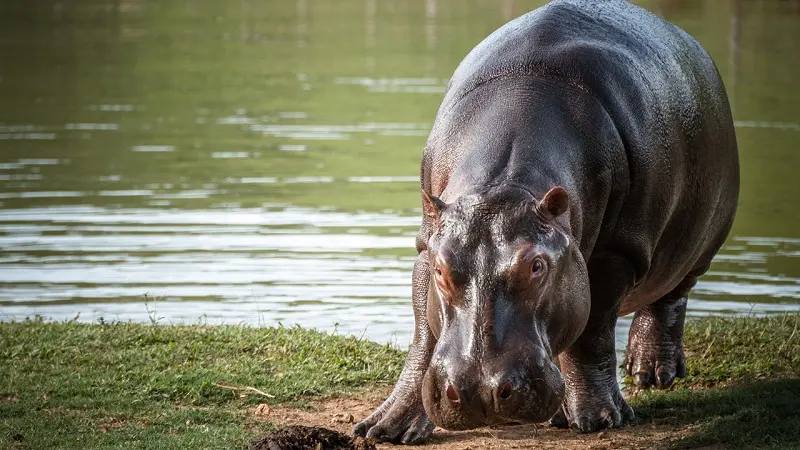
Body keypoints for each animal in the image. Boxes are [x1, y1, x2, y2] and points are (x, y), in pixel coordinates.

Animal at [354, 0, 740, 442]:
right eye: (440, 270)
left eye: (536, 265)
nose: (480, 392)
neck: (502, 185)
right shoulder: (426, 242)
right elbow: (424, 334)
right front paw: (384, 428)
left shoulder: (614, 253)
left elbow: (592, 333)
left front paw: (600, 419)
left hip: (699, 241)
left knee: (670, 293)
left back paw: (650, 373)